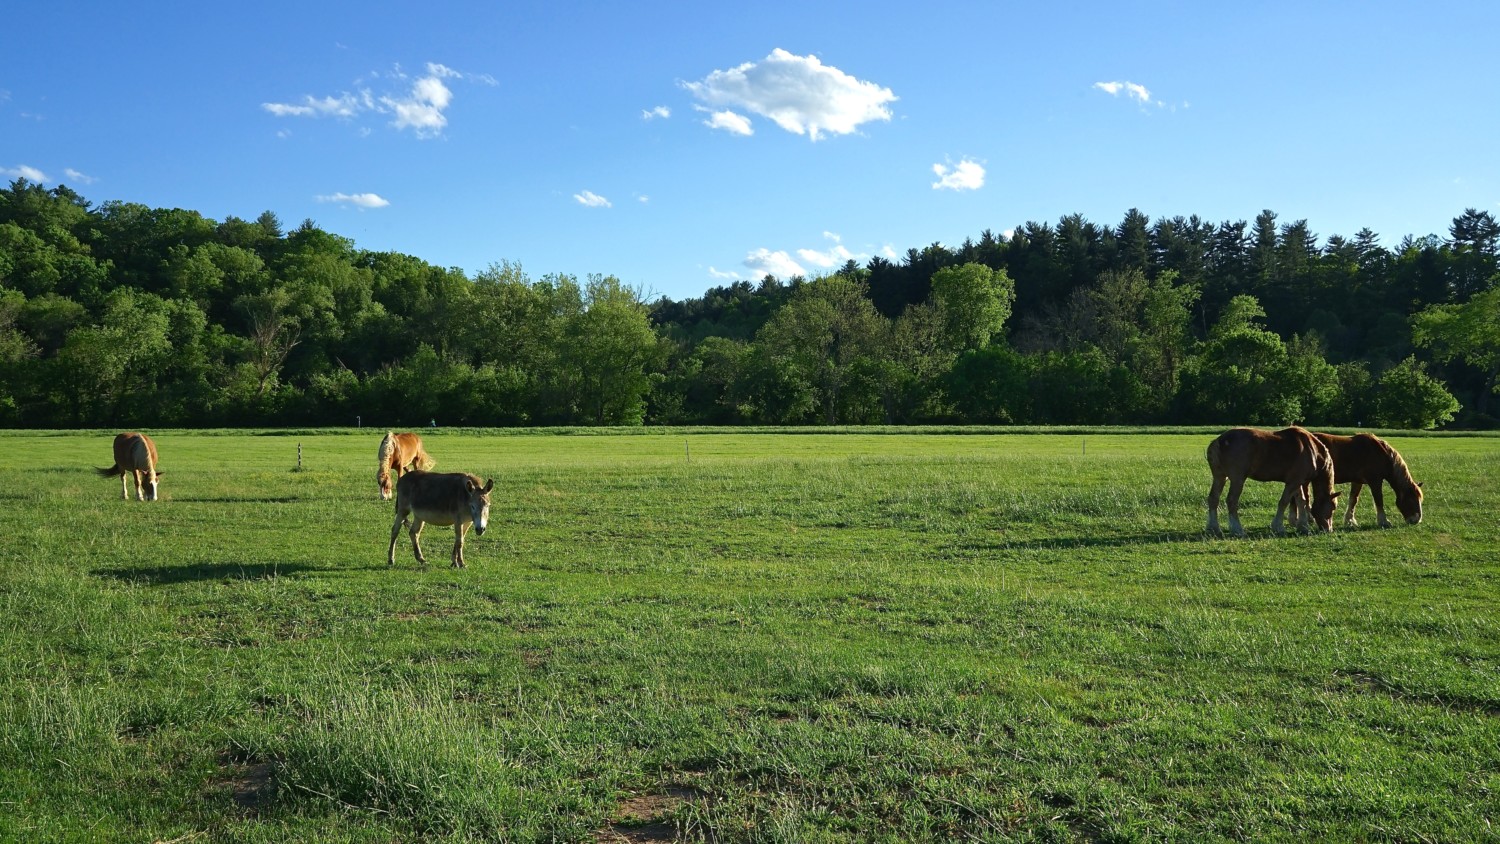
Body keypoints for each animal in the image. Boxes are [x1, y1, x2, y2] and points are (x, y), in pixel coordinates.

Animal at [1200, 425, 1344, 539]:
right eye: (1333, 506)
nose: (1328, 529)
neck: (1312, 450)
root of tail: (1220, 441)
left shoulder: (1298, 482)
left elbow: (1301, 501)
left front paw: (1303, 526)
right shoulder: (1293, 482)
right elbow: (1284, 502)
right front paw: (1278, 527)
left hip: (1220, 477)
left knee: (1213, 499)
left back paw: (1213, 528)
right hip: (1237, 479)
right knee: (1231, 501)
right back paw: (1237, 530)